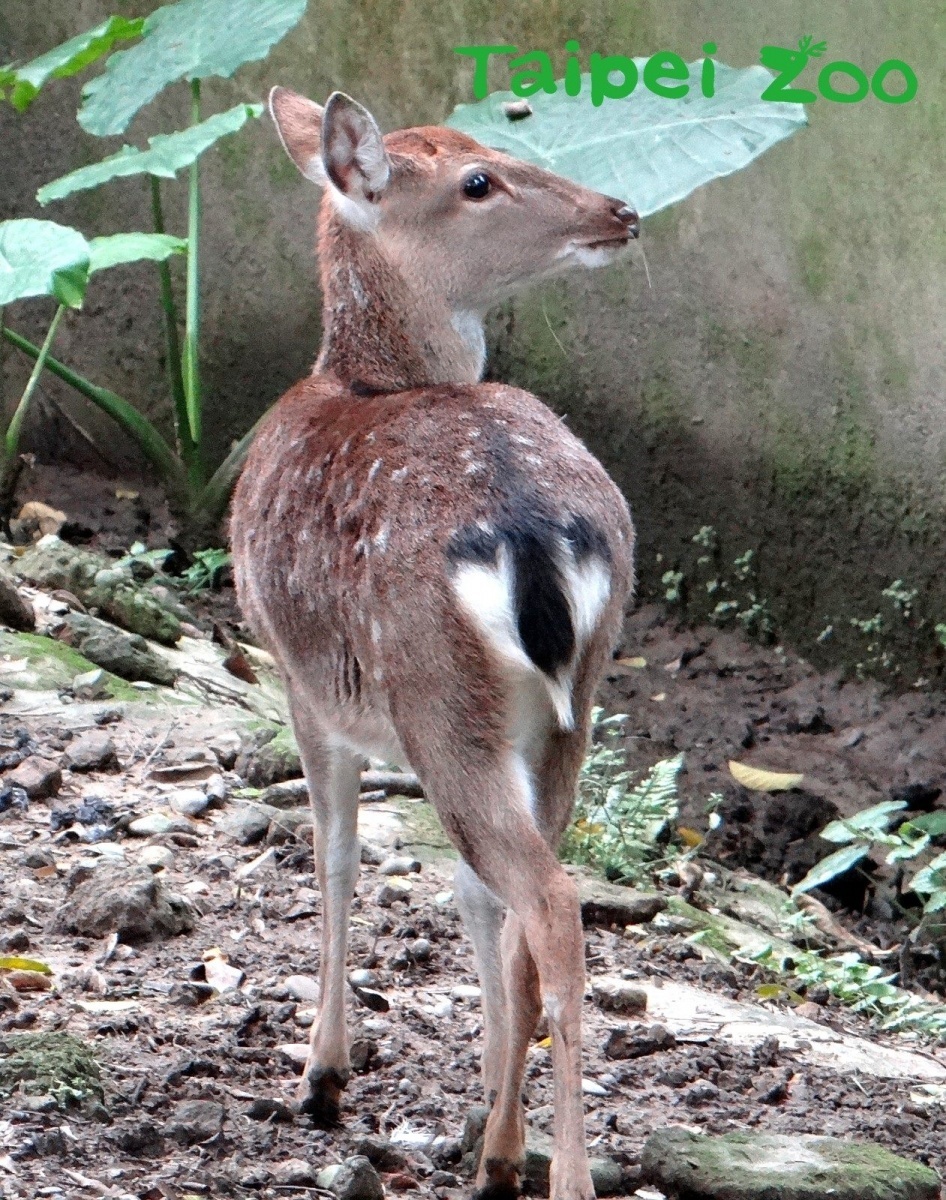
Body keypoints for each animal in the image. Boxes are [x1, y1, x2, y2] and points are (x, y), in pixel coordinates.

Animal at [231, 87, 638, 1200]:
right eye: (478, 176)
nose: (621, 208)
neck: (355, 377)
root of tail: (535, 533)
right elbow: (463, 898)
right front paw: (483, 1114)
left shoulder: (302, 683)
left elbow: (333, 855)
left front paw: (323, 1077)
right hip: (568, 710)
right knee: (527, 899)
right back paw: (499, 1151)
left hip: (434, 697)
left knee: (551, 904)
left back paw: (551, 1172)